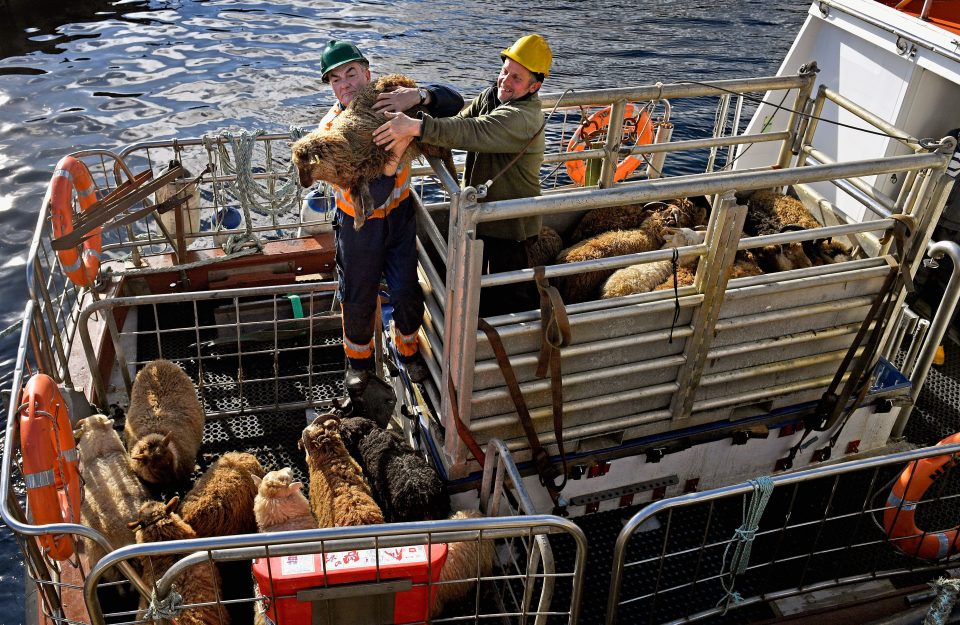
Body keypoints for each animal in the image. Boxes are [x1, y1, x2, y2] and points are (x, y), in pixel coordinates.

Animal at [290, 73, 456, 229]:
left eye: (308, 166)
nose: (304, 184)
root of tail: (405, 79)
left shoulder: (373, 157)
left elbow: (359, 190)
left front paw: (362, 215)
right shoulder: (358, 171)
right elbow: (357, 193)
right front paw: (361, 217)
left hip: (427, 139)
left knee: (446, 151)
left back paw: (453, 176)